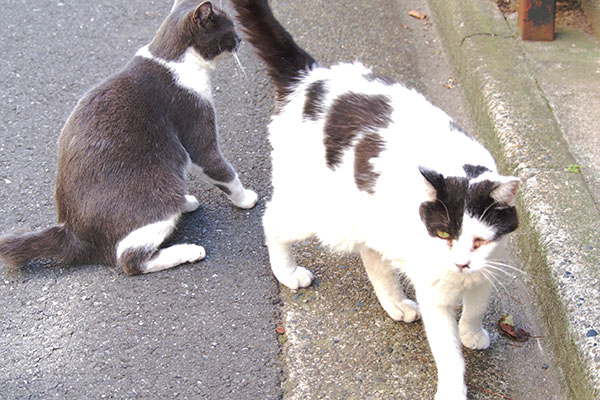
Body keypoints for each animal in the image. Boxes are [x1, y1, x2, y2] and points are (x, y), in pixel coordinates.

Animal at [0, 0, 255, 276]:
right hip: (158, 189)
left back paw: (185, 204)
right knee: (130, 260)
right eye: (230, 27)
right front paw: (246, 199)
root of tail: (71, 231)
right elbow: (221, 169)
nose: (241, 39)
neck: (171, 58)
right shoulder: (192, 120)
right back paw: (188, 250)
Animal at [230, 1, 520, 398]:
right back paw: (287, 272)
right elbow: (448, 353)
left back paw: (395, 303)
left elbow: (476, 307)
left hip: (369, 221)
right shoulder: (435, 292)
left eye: (479, 240)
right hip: (325, 217)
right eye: (444, 234)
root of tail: (310, 78)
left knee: (373, 257)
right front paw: (453, 386)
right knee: (272, 221)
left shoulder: (489, 267)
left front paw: (472, 333)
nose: (460, 263)